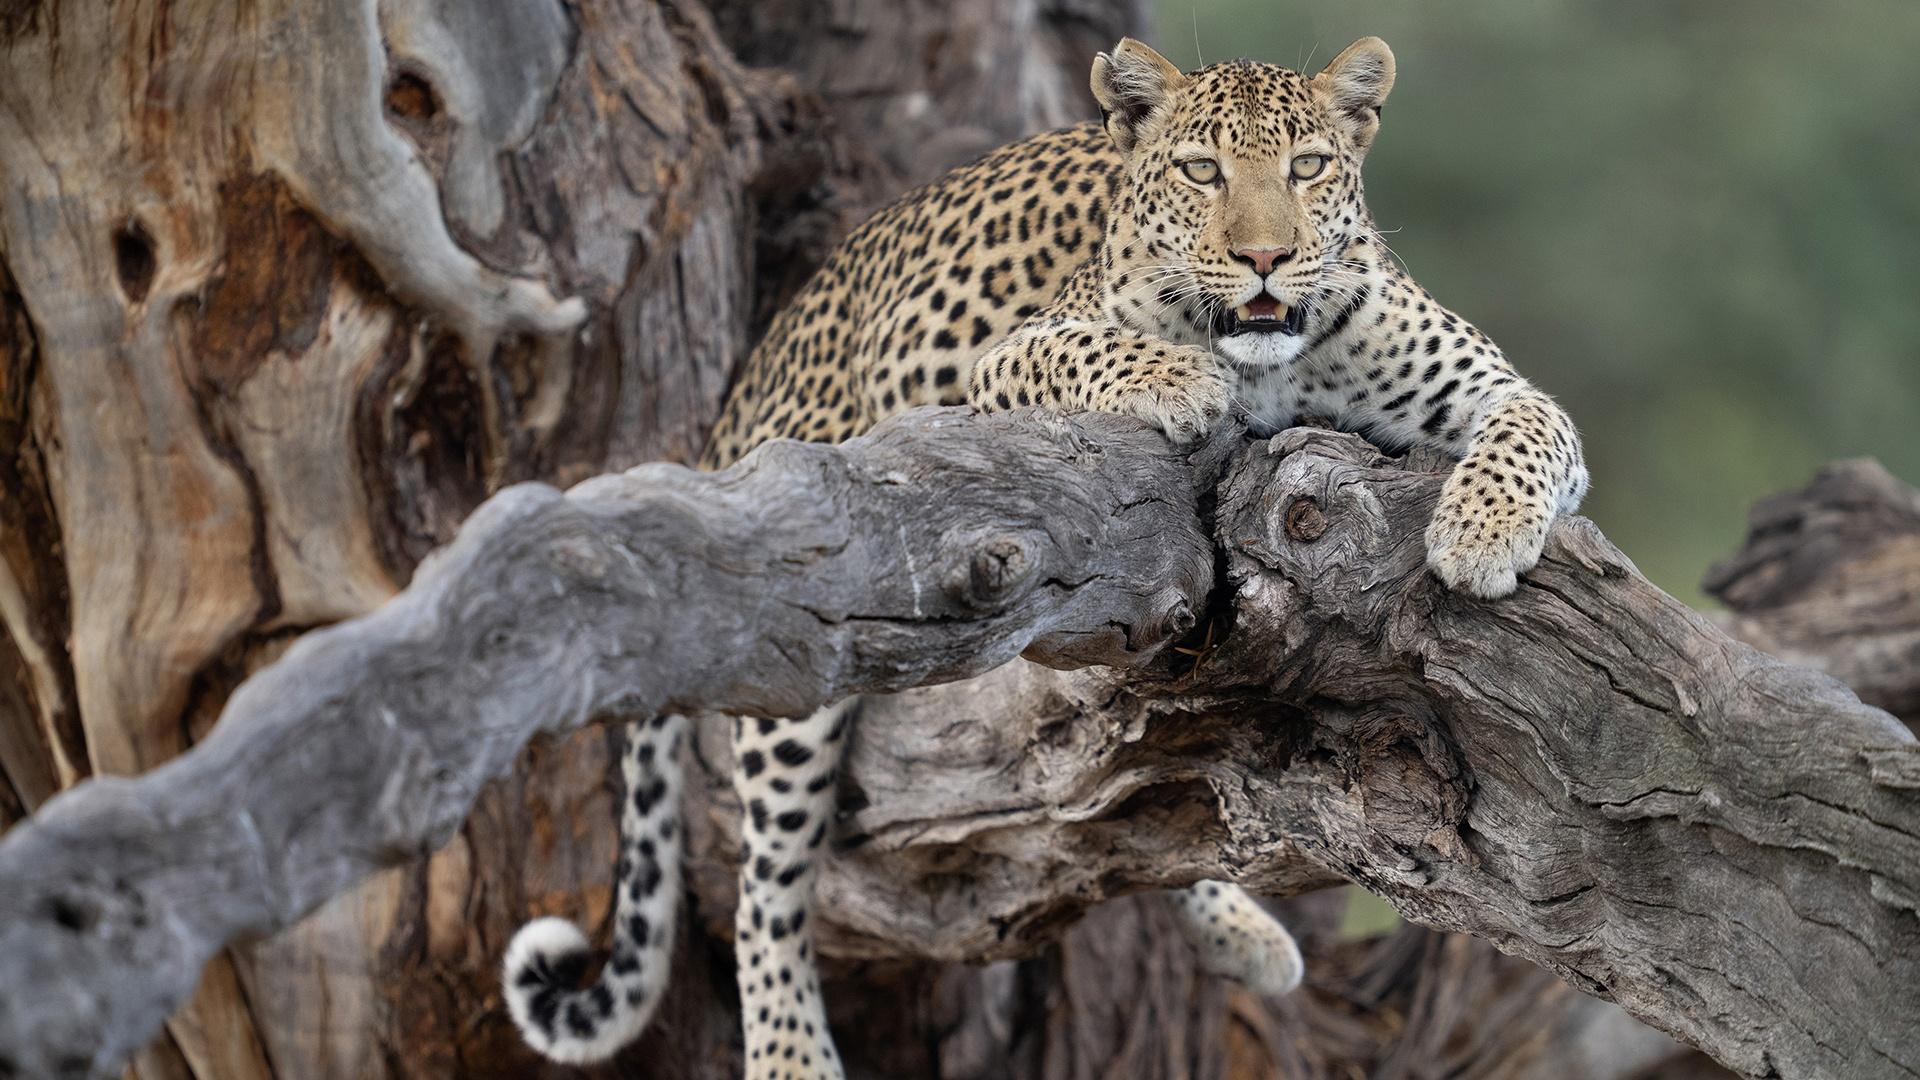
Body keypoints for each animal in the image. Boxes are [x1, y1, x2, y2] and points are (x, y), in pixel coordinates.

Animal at [499, 31, 1589, 1068]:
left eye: (1310, 166)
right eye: (1202, 171)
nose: (1266, 259)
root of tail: (743, 392)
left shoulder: (1494, 389)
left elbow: (1534, 428)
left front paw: (1480, 531)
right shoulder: (1009, 360)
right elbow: (1093, 347)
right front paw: (1182, 381)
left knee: (1145, 789)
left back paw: (1234, 925)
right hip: (806, 611)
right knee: (770, 882)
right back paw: (788, 1053)